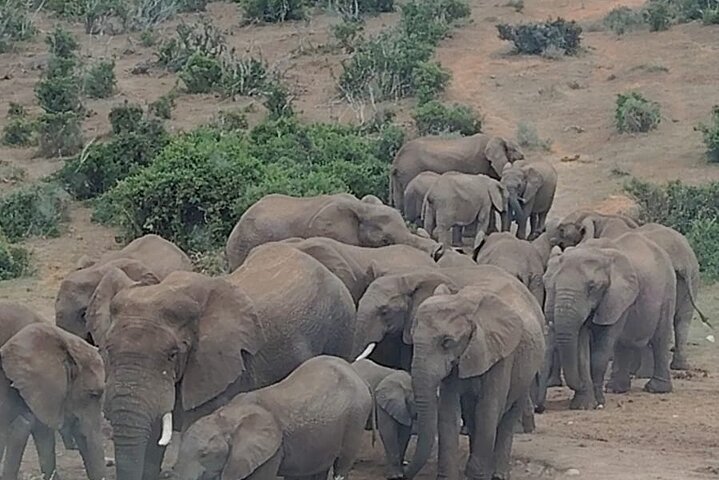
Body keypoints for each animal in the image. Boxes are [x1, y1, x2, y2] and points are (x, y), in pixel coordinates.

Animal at [164, 356, 371, 480]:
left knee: (342, 464)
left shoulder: (271, 453)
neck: (228, 418)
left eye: (204, 454)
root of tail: (355, 373)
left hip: (356, 417)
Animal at [390, 134, 524, 213]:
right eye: (514, 150)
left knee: (399, 200)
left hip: (400, 175)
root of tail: (396, 160)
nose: (523, 156)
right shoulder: (479, 164)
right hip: (410, 171)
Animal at [405, 282, 545, 480]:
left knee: (509, 415)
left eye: (447, 342)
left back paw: (498, 474)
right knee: (471, 414)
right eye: (412, 336)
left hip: (527, 369)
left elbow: (488, 409)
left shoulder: (500, 356)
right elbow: (449, 411)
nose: (402, 474)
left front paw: (477, 475)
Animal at [543, 231, 676, 411]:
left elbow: (602, 348)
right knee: (623, 343)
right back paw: (615, 389)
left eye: (592, 287)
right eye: (551, 285)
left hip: (668, 288)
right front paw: (584, 405)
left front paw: (597, 403)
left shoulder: (616, 296)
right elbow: (581, 347)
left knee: (660, 338)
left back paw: (656, 389)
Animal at [550, 211, 707, 370]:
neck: (601, 217)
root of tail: (683, 259)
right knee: (682, 319)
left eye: (562, 230)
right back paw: (678, 366)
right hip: (693, 275)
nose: (553, 242)